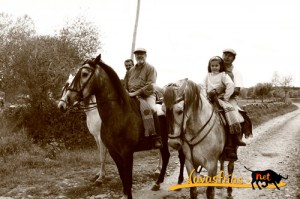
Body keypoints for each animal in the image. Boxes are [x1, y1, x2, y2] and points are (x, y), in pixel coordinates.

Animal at [58, 54, 185, 199]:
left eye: (84, 74)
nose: (63, 104)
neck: (119, 115)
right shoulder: (113, 151)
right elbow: (121, 175)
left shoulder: (126, 153)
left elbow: (126, 177)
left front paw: (100, 178)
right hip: (164, 141)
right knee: (166, 156)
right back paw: (157, 182)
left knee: (180, 157)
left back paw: (179, 181)